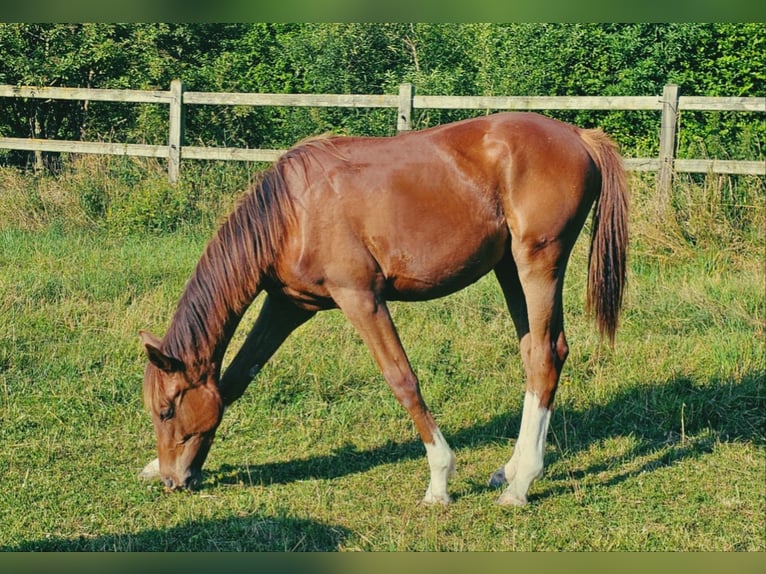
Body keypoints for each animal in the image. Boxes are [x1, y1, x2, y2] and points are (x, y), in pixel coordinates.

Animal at [138, 111, 628, 506]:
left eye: (166, 411)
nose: (172, 480)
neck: (294, 211)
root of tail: (579, 135)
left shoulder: (361, 298)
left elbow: (402, 380)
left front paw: (439, 480)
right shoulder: (287, 305)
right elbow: (235, 380)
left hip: (539, 263)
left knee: (544, 357)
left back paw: (521, 484)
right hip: (509, 268)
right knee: (540, 354)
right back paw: (510, 469)